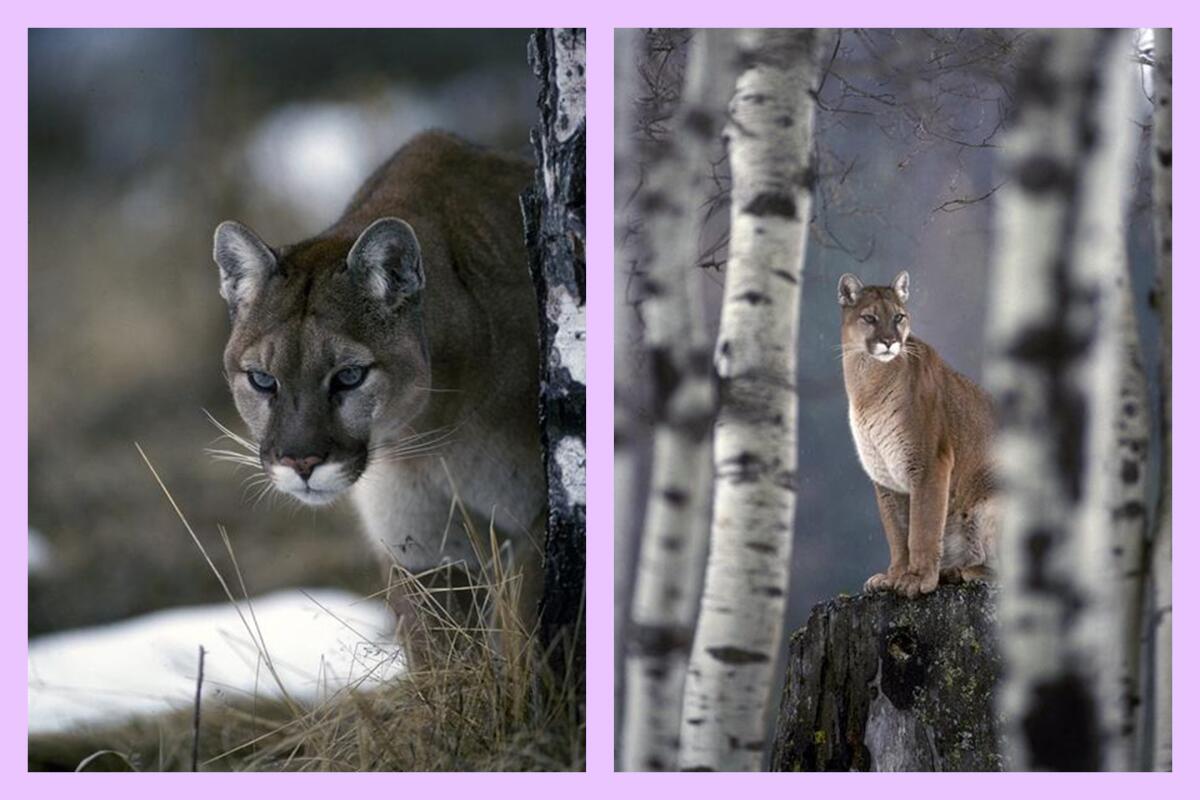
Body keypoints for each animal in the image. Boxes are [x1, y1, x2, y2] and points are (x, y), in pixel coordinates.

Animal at [213, 130, 547, 657]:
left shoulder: (537, 518)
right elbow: (441, 660)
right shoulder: (423, 548)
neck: (427, 433)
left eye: (349, 376)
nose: (300, 463)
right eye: (263, 379)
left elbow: (525, 636)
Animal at [840, 272, 998, 597]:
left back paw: (958, 571)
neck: (867, 384)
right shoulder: (884, 474)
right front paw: (894, 576)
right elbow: (898, 532)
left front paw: (918, 579)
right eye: (870, 317)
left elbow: (923, 528)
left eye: (899, 317)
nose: (890, 341)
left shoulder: (929, 464)